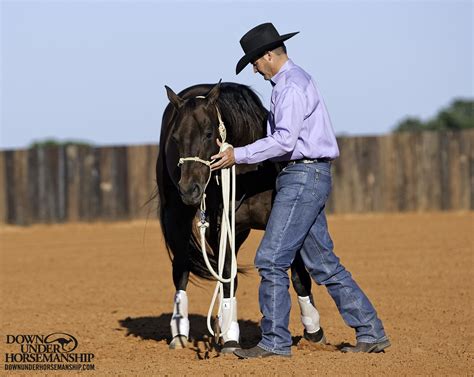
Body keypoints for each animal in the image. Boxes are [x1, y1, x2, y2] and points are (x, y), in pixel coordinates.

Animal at [157, 81, 320, 352]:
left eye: (209, 133)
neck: (252, 174)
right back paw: (179, 333)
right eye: (176, 138)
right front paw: (231, 338)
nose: (189, 190)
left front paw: (314, 329)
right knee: (181, 269)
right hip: (176, 215)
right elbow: (227, 278)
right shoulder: (222, 228)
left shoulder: (286, 220)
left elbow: (299, 275)